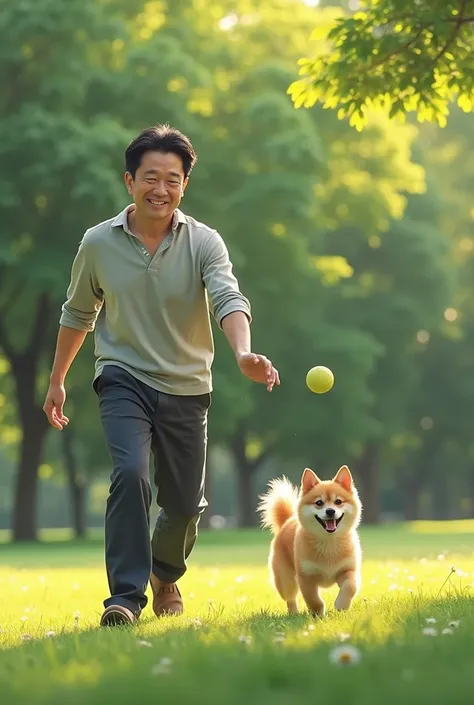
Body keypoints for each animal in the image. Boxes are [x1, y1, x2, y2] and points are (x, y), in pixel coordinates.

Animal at [258, 468, 362, 616]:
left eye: (338, 501)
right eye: (319, 503)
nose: (330, 511)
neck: (328, 543)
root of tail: (287, 521)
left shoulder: (348, 570)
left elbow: (350, 586)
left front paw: (341, 605)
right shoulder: (306, 577)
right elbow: (313, 600)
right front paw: (318, 615)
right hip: (285, 581)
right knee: (290, 598)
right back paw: (294, 614)